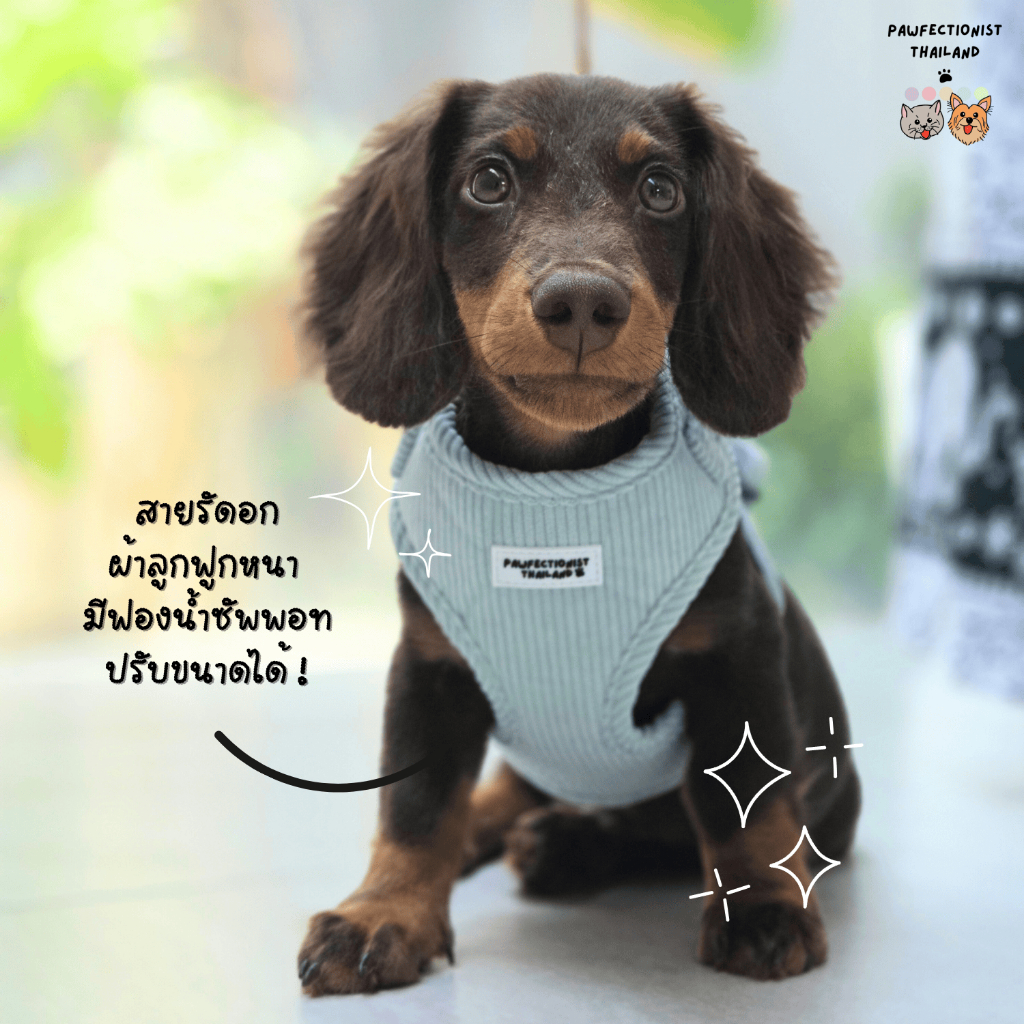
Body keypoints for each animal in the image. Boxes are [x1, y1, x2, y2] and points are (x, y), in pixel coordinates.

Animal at [296, 74, 859, 995]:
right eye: (489, 180)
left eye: (661, 189)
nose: (584, 303)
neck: (556, 485)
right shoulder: (429, 668)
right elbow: (417, 810)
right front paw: (385, 913)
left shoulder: (739, 660)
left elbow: (750, 806)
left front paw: (766, 909)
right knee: (507, 791)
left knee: (663, 830)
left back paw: (570, 844)